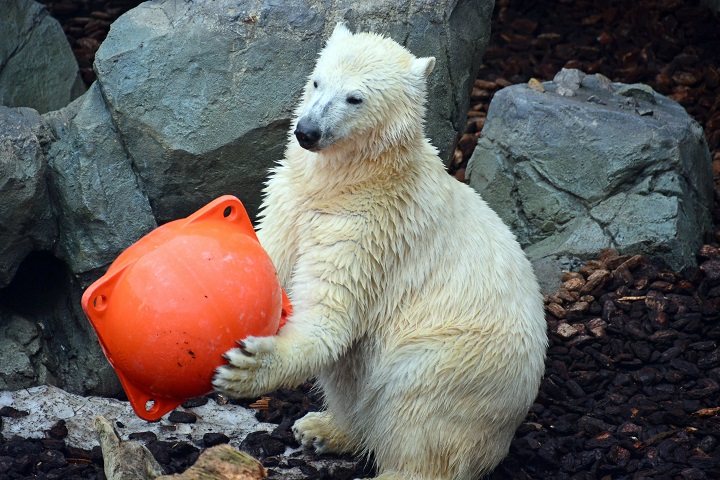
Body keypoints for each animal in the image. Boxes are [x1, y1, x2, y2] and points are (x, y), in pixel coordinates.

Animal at [212, 23, 544, 480]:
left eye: (355, 97)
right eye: (317, 81)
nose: (307, 131)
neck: (353, 180)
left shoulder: (371, 230)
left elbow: (329, 314)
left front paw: (248, 366)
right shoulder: (289, 196)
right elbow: (269, 260)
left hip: (461, 361)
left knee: (418, 413)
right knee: (353, 374)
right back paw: (325, 428)